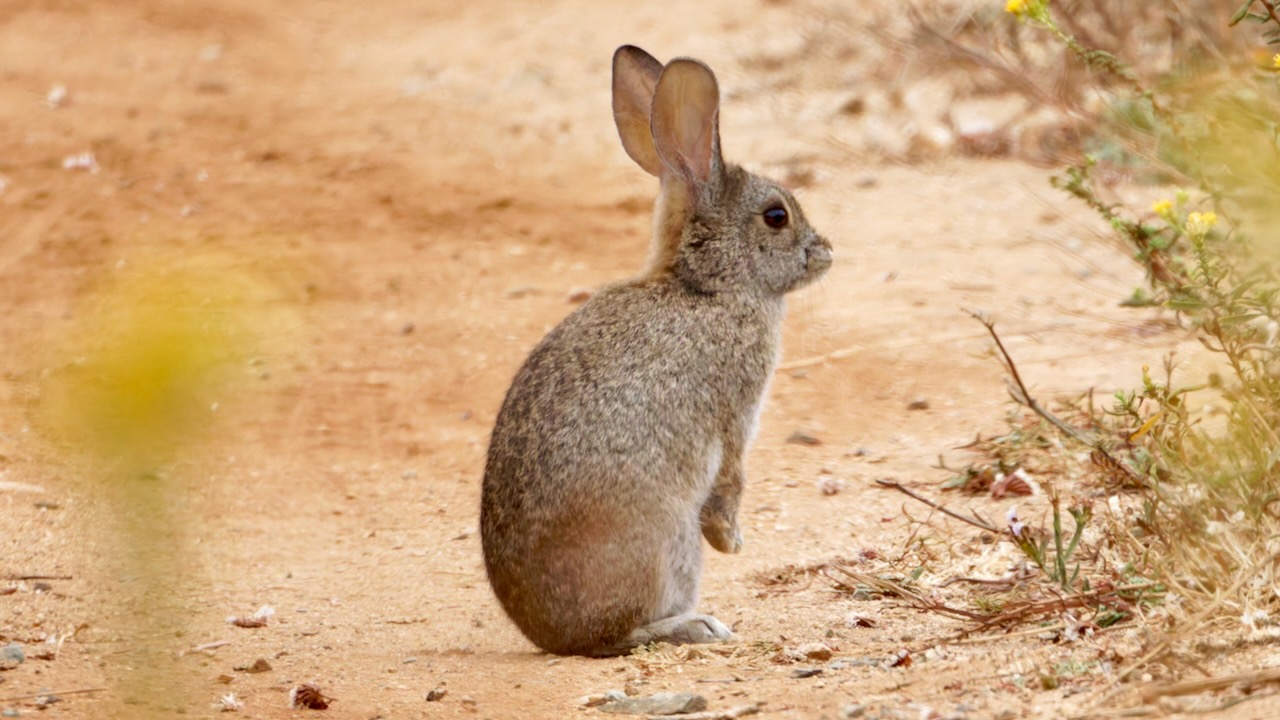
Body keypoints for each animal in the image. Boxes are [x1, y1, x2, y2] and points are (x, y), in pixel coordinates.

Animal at [481, 41, 829, 653]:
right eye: (776, 216)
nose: (828, 251)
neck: (706, 284)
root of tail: (551, 635)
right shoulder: (735, 414)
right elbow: (732, 479)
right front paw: (732, 541)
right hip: (668, 541)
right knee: (621, 633)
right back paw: (697, 625)